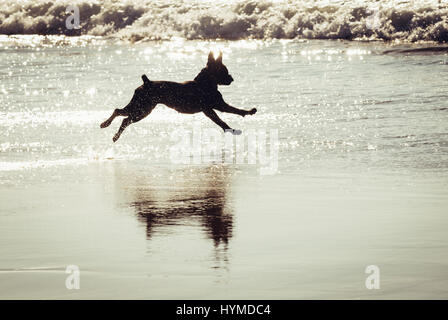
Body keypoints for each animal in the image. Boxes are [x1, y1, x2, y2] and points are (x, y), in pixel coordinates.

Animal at [100, 51, 256, 141]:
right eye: (224, 72)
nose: (232, 79)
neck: (204, 83)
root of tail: (146, 82)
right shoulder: (213, 108)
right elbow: (227, 116)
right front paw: (235, 126)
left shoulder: (214, 108)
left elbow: (230, 114)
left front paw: (244, 116)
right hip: (141, 110)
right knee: (123, 117)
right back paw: (110, 130)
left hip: (141, 108)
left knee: (121, 114)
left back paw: (108, 127)